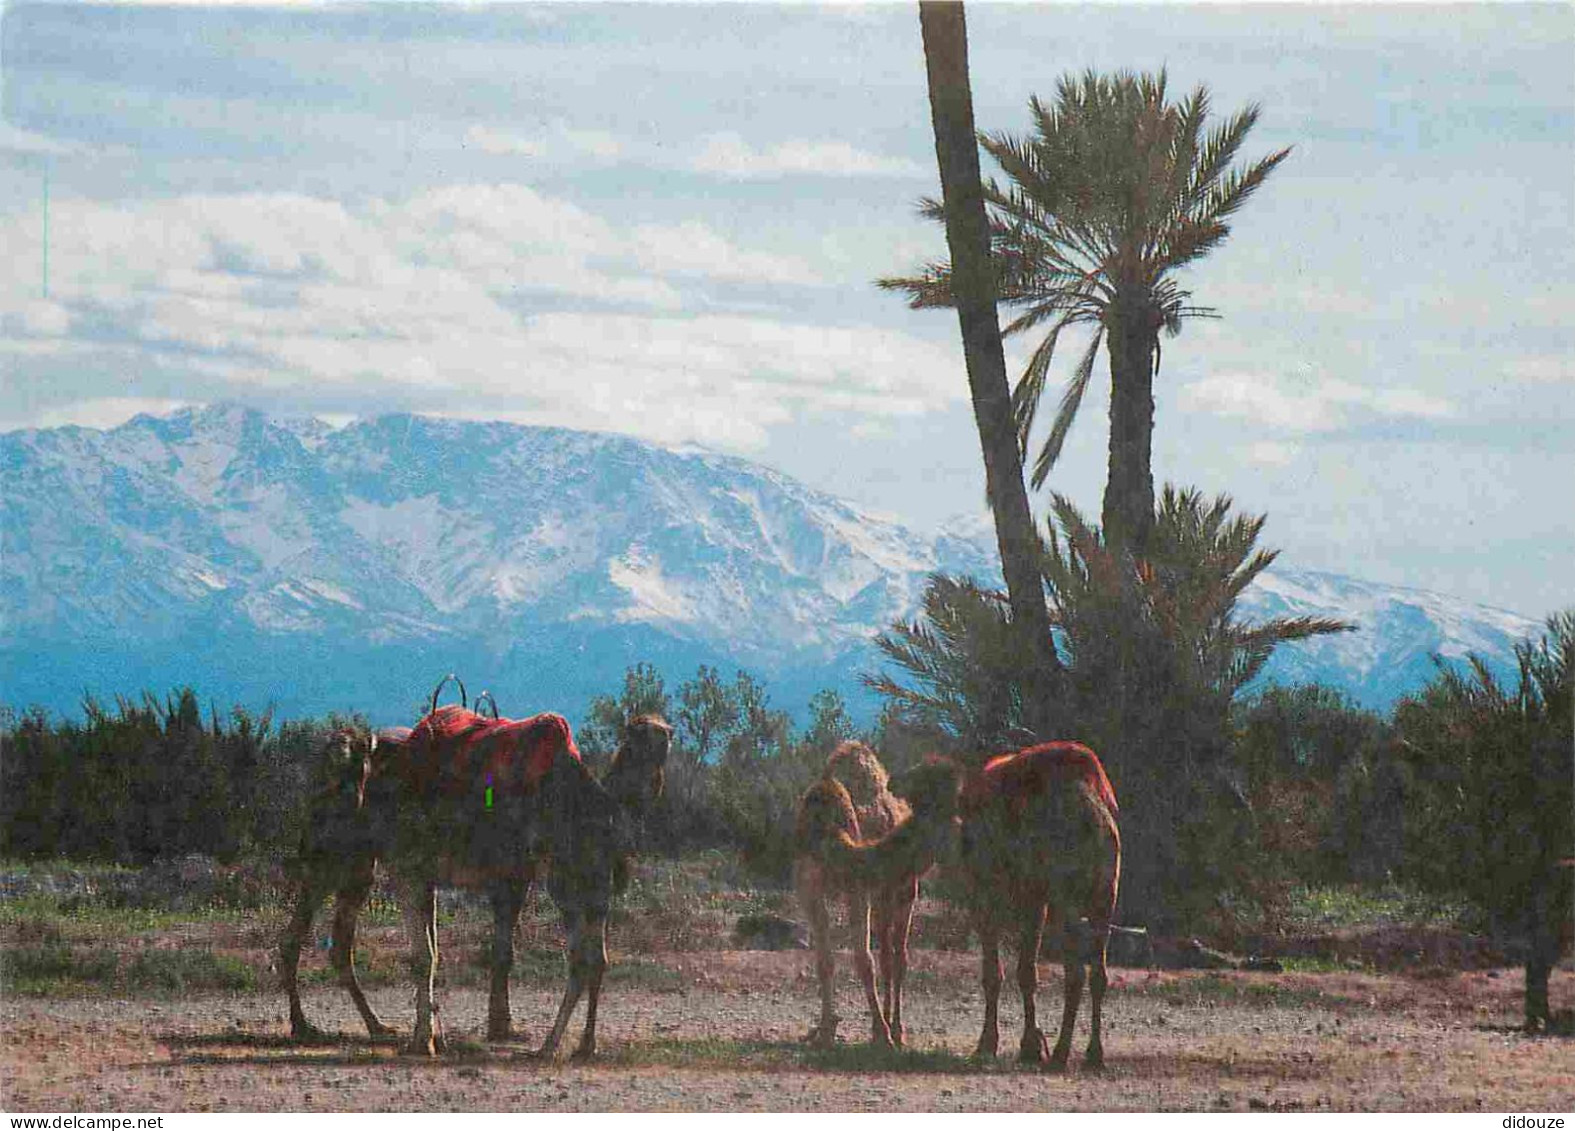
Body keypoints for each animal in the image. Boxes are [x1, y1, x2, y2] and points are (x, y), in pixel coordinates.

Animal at [389, 696, 677, 1058]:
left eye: (661, 736)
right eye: (637, 739)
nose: (664, 736)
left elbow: (445, 954)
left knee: (588, 959)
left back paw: (560, 1043)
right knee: (591, 959)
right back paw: (572, 1044)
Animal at [793, 743, 951, 1052]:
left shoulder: (860, 891)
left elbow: (865, 960)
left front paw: (882, 1033)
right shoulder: (810, 890)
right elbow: (825, 961)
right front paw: (825, 1031)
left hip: (902, 892)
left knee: (897, 957)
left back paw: (897, 1030)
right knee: (888, 955)